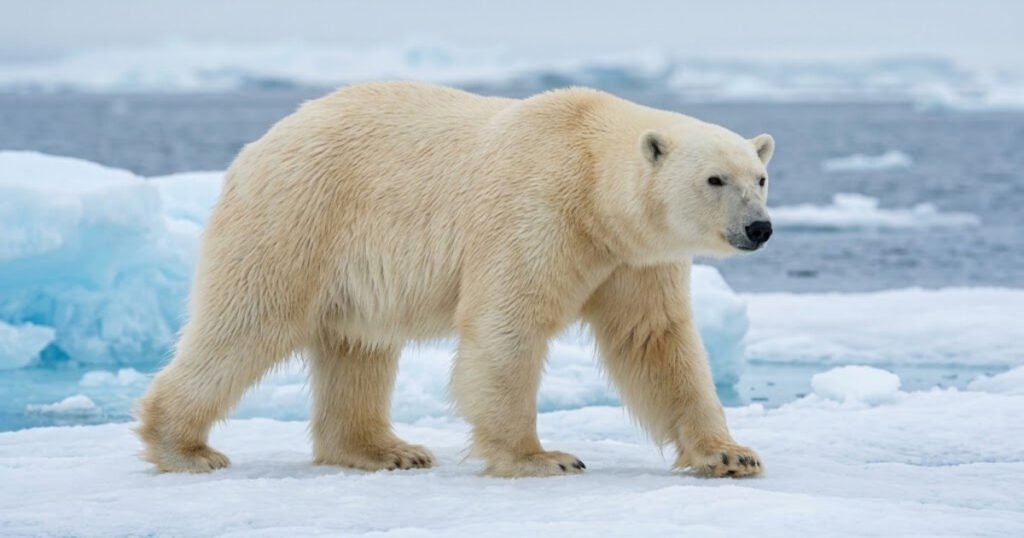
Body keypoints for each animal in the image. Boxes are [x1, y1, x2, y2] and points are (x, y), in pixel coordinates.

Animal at [137, 81, 775, 478]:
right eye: (715, 179)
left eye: (760, 176)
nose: (759, 227)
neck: (591, 178)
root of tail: (259, 145)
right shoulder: (536, 209)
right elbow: (507, 325)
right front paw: (542, 457)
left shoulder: (633, 260)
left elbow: (655, 341)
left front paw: (731, 455)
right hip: (298, 217)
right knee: (248, 323)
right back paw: (185, 448)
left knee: (357, 347)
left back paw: (387, 450)